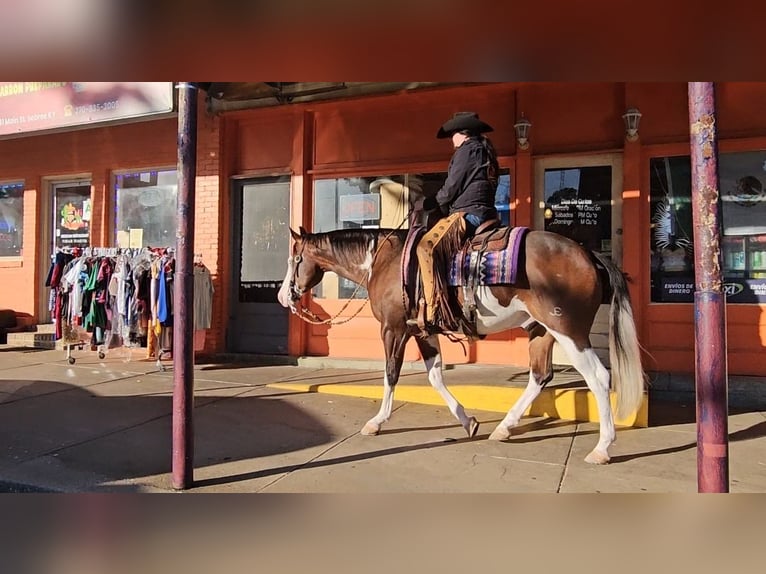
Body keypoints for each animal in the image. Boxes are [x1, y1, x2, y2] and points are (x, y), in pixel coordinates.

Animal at [278, 226, 648, 468]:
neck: (384, 261)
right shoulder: (422, 331)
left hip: (567, 330)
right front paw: (467, 421)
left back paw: (602, 448)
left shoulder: (393, 328)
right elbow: (435, 377)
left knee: (598, 377)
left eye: (294, 258)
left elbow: (391, 373)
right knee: (539, 376)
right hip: (541, 330)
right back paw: (504, 427)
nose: (283, 296)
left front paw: (377, 422)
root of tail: (588, 253)